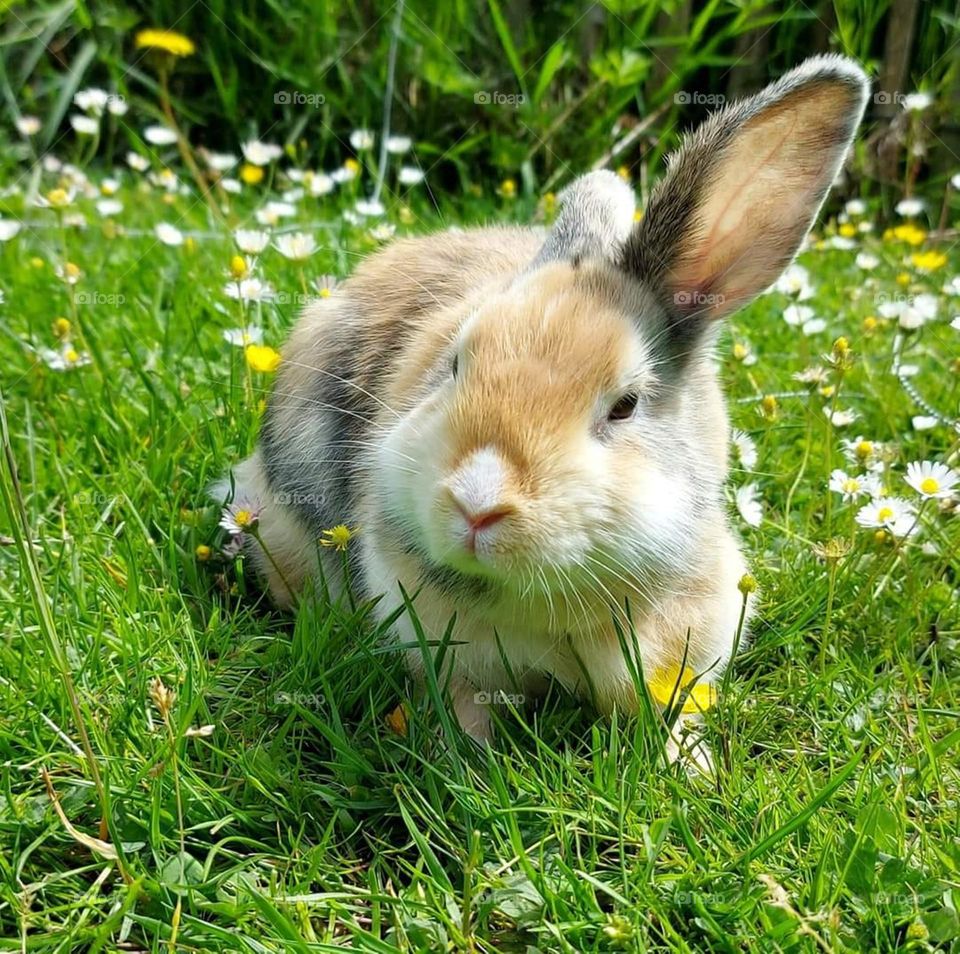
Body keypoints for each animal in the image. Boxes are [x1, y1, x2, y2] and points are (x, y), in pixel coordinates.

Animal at [214, 55, 869, 759]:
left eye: (625, 406)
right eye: (454, 364)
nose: (477, 503)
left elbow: (678, 714)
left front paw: (689, 766)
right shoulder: (450, 655)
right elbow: (465, 711)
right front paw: (463, 763)